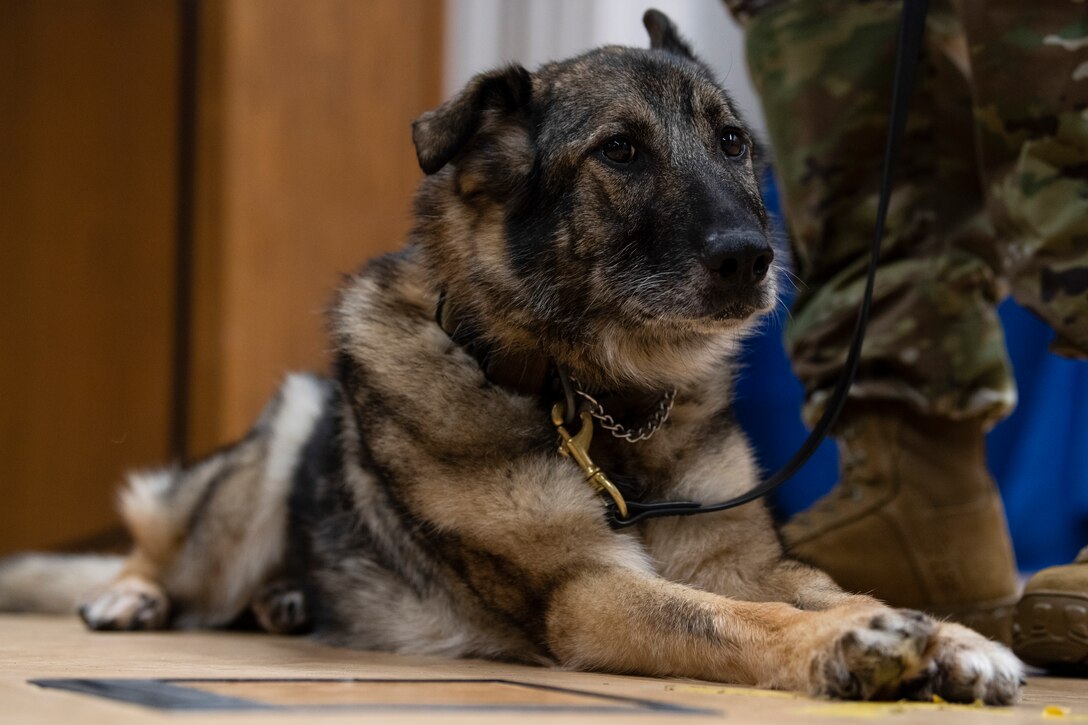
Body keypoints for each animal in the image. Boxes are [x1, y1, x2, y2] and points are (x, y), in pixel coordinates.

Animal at [0, 9, 1018, 701]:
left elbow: (825, 585)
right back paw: (132, 596)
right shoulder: (589, 590)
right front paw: (851, 647)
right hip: (269, 454)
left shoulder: (737, 558)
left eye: (732, 142)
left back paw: (287, 601)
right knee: (161, 541)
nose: (752, 259)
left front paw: (948, 634)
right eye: (620, 151)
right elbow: (741, 619)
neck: (599, 403)